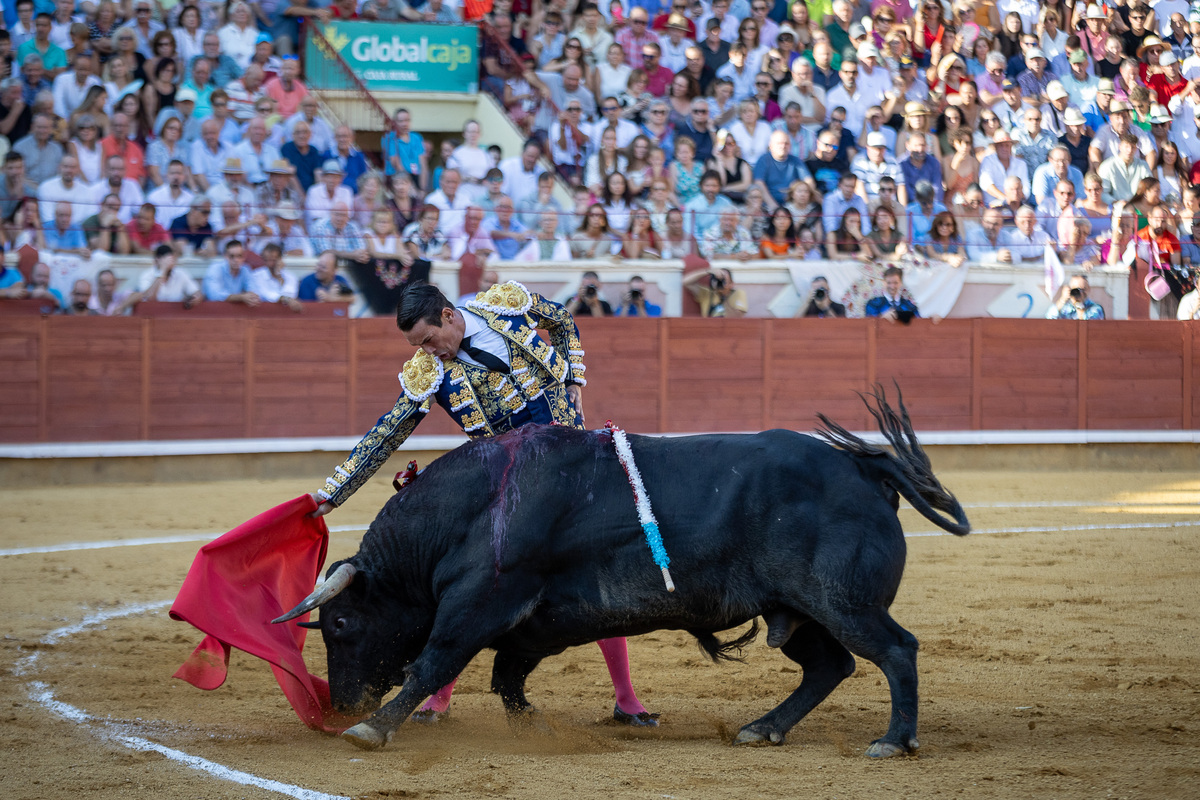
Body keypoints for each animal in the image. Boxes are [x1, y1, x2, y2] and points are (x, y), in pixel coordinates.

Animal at [276, 391, 969, 753]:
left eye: (340, 623)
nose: (341, 703)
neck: (474, 506)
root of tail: (865, 469)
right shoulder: (528, 626)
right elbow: (507, 677)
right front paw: (532, 728)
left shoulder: (479, 603)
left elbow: (433, 663)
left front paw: (371, 727)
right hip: (794, 611)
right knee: (832, 665)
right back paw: (762, 728)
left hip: (842, 602)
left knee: (895, 651)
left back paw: (894, 740)